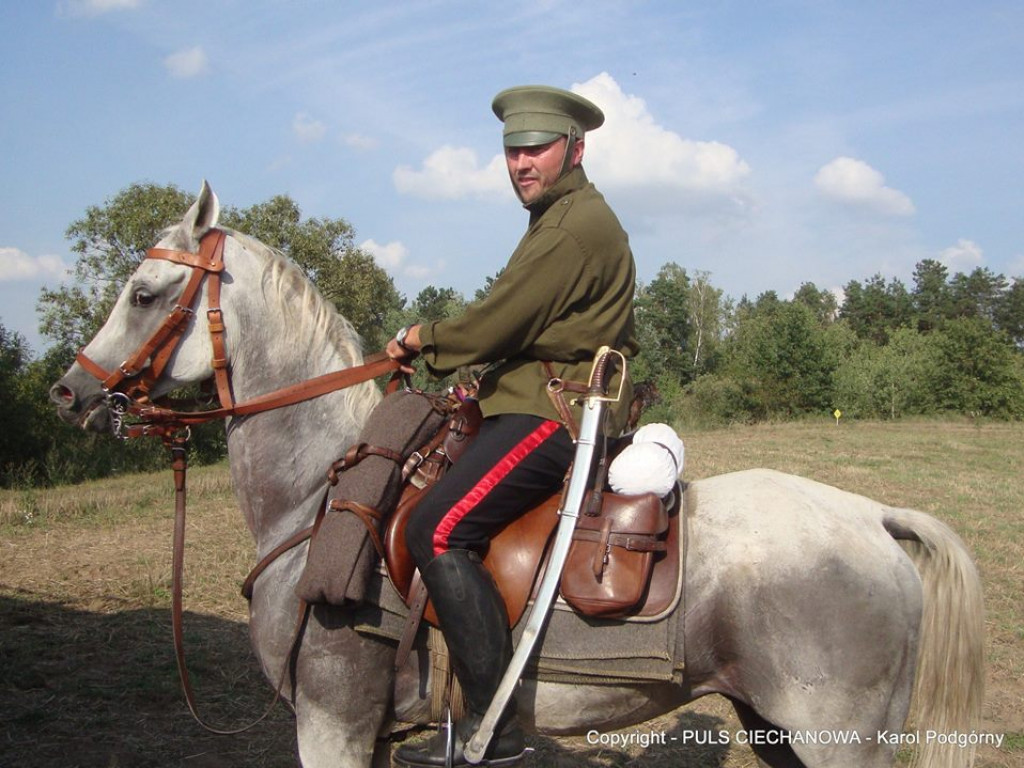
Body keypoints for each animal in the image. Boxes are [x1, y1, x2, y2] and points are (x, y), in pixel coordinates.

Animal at [49, 185, 983, 768]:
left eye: (143, 292)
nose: (70, 393)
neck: (315, 497)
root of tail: (873, 517)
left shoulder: (332, 727)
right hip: (773, 727)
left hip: (835, 740)